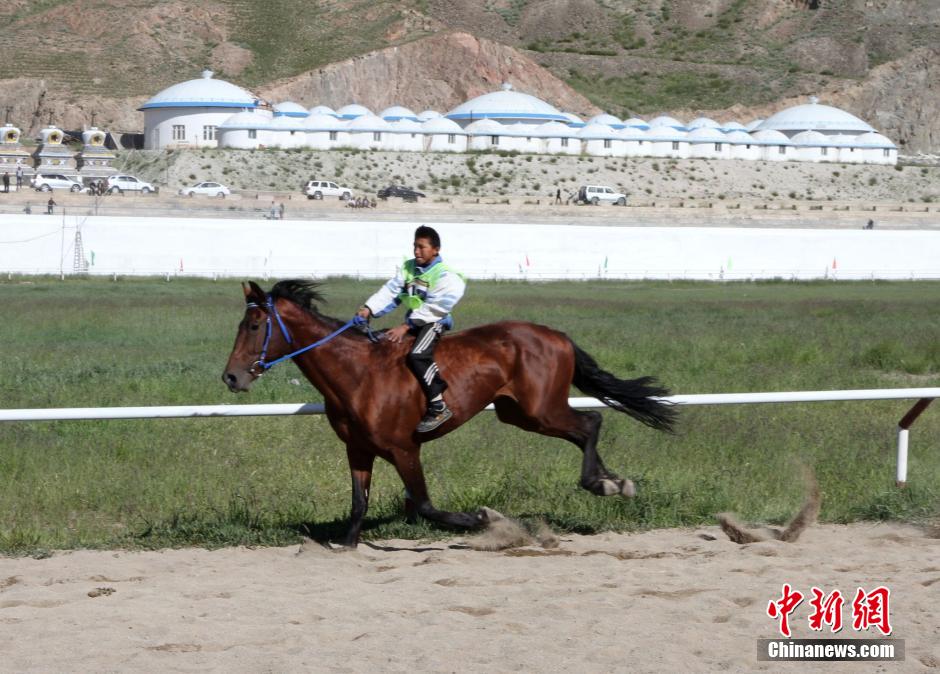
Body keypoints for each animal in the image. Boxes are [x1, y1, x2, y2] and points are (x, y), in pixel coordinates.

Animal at [223, 280, 677, 547]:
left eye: (254, 326)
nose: (231, 377)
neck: (358, 373)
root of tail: (556, 335)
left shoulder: (405, 449)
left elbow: (425, 505)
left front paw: (484, 519)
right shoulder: (358, 450)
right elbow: (357, 506)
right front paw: (347, 542)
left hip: (540, 410)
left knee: (590, 422)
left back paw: (605, 483)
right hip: (519, 413)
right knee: (585, 428)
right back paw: (610, 482)